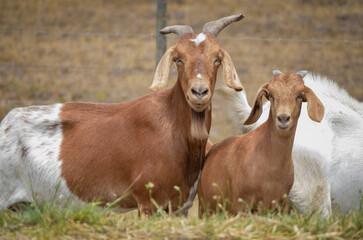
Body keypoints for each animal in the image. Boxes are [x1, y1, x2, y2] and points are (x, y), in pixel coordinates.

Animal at [0, 14, 246, 216]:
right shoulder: (149, 203)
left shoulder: (180, 207)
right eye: (179, 59)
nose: (199, 92)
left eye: (216, 58)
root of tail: (5, 124)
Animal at [198, 70, 326, 215]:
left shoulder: (280, 206)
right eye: (271, 95)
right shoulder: (242, 204)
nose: (283, 118)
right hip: (205, 208)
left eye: (299, 95)